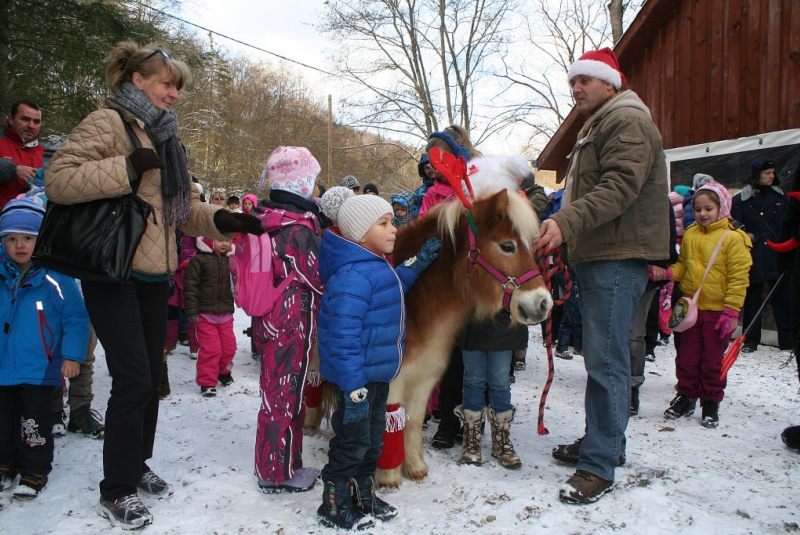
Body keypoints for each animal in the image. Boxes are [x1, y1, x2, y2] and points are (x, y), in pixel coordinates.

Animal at [376, 156, 552, 490]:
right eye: (507, 246)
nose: (543, 303)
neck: (414, 297)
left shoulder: (424, 377)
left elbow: (412, 421)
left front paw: (415, 467)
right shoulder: (391, 380)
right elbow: (389, 421)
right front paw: (388, 475)